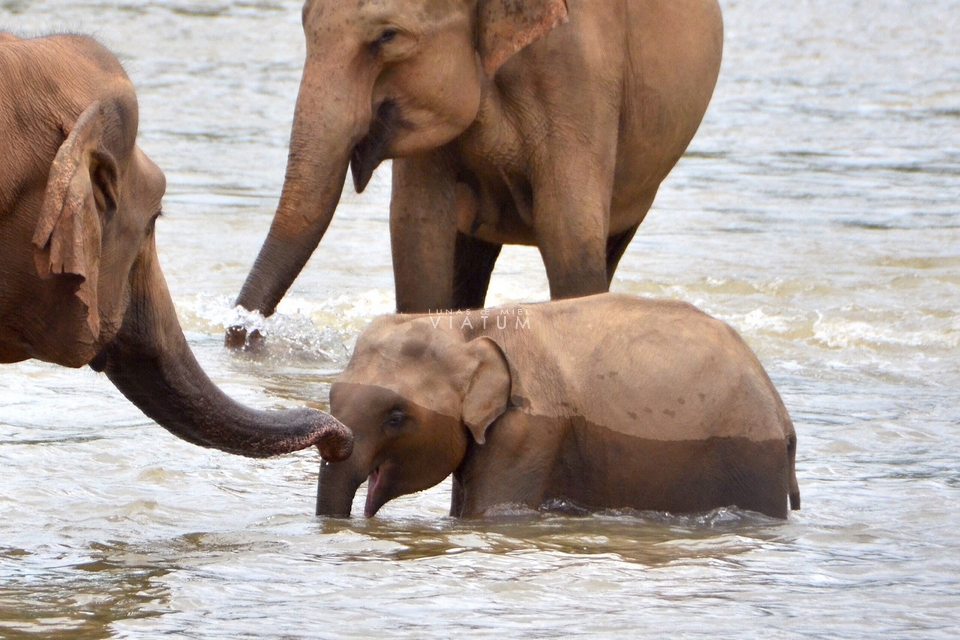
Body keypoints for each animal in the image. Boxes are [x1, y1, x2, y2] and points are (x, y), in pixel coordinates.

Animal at [227, 0, 720, 344]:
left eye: (387, 36)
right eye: (304, 24)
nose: (240, 332)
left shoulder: (580, 73)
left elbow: (569, 231)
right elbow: (417, 227)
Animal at [318, 292, 800, 516]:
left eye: (396, 417)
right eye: (331, 396)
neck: (466, 324)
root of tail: (781, 412)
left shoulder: (529, 432)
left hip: (751, 464)